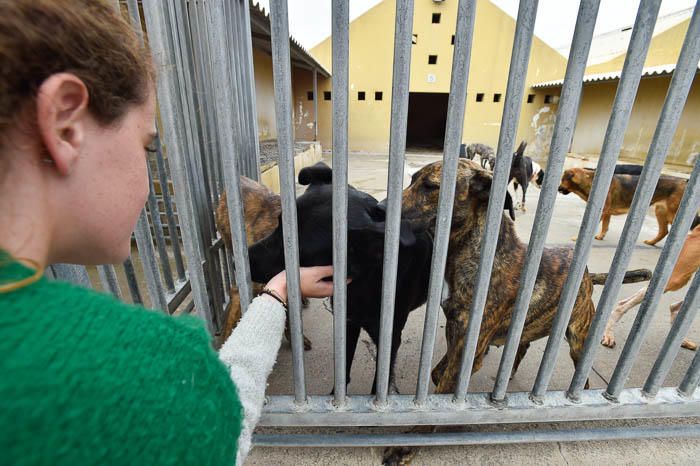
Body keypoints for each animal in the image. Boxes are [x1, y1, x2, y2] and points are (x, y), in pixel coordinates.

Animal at [382, 159, 652, 462]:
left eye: (430, 187)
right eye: (412, 179)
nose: (380, 209)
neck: (478, 253)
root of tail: (587, 274)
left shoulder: (467, 348)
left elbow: (441, 395)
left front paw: (407, 446)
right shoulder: (457, 335)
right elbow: (439, 376)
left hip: (578, 340)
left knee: (581, 377)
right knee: (521, 344)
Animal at [560, 167, 688, 244]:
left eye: (562, 180)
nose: (558, 188)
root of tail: (685, 181)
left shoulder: (601, 212)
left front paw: (577, 238)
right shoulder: (607, 213)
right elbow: (605, 226)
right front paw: (600, 236)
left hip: (672, 215)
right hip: (660, 211)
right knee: (664, 231)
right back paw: (651, 242)